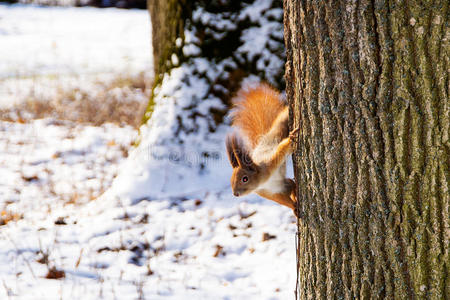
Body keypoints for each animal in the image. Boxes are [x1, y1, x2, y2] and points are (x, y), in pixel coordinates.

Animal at [227, 83, 298, 214]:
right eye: (231, 179)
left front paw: (291, 139)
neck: (262, 182)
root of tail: (266, 135)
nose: (235, 194)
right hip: (282, 186)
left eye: (245, 179)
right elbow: (281, 200)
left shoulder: (269, 163)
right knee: (291, 185)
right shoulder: (267, 192)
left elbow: (281, 150)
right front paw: (293, 207)